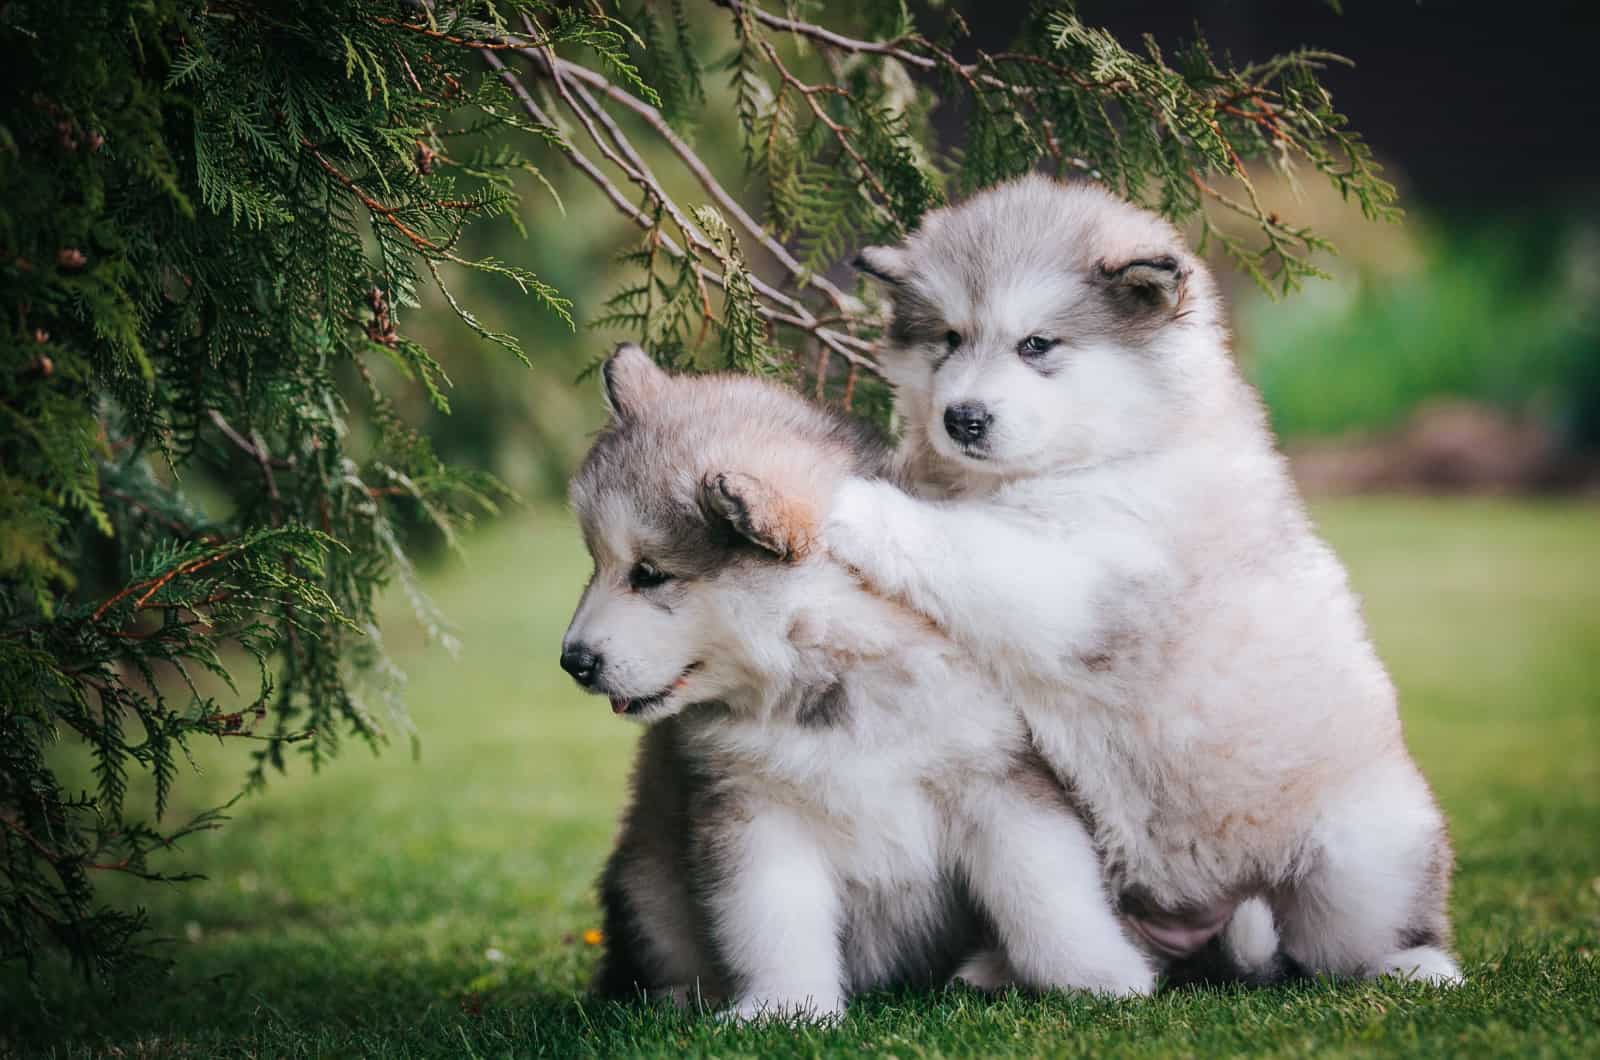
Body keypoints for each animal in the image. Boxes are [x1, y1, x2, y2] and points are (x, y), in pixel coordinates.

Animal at [560, 347, 1152, 1024]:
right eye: (597, 564)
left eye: (650, 574)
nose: (572, 660)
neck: (835, 671)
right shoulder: (752, 809)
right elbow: (772, 919)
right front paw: (782, 1007)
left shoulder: (1001, 778)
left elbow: (1049, 892)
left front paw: (1097, 976)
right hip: (645, 878)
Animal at [838, 176, 1465, 986]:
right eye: (947, 338)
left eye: (1036, 344)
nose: (963, 419)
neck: (1109, 451)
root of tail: (1205, 923)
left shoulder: (1084, 576)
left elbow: (958, 542)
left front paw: (847, 502)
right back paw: (1000, 968)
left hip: (1360, 858)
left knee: (1357, 937)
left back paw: (1415, 964)